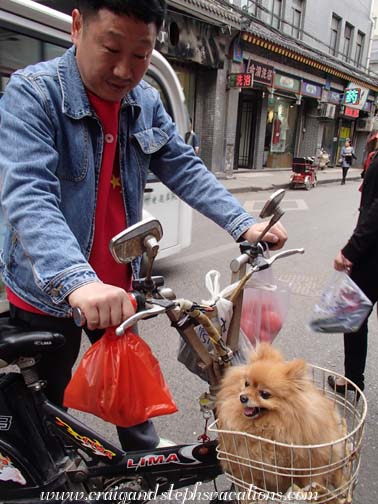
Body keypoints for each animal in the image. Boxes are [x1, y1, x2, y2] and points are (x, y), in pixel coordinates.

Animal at [216, 342, 346, 492]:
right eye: (246, 384)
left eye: (264, 394)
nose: (242, 397)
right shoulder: (247, 468)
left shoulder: (309, 464)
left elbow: (314, 481)